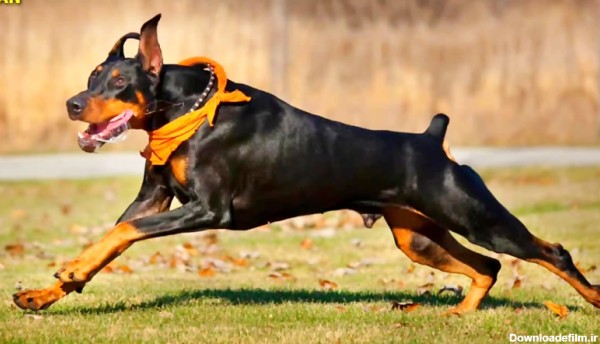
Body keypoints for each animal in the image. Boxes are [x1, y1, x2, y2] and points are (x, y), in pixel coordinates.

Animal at [11, 14, 596, 314]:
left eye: (117, 81)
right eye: (90, 77)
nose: (72, 104)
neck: (186, 112)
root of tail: (434, 141)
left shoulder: (209, 210)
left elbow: (123, 232)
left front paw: (60, 279)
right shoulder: (154, 196)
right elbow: (110, 239)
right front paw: (46, 291)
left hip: (475, 215)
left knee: (550, 252)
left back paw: (589, 299)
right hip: (418, 235)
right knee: (489, 267)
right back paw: (460, 314)